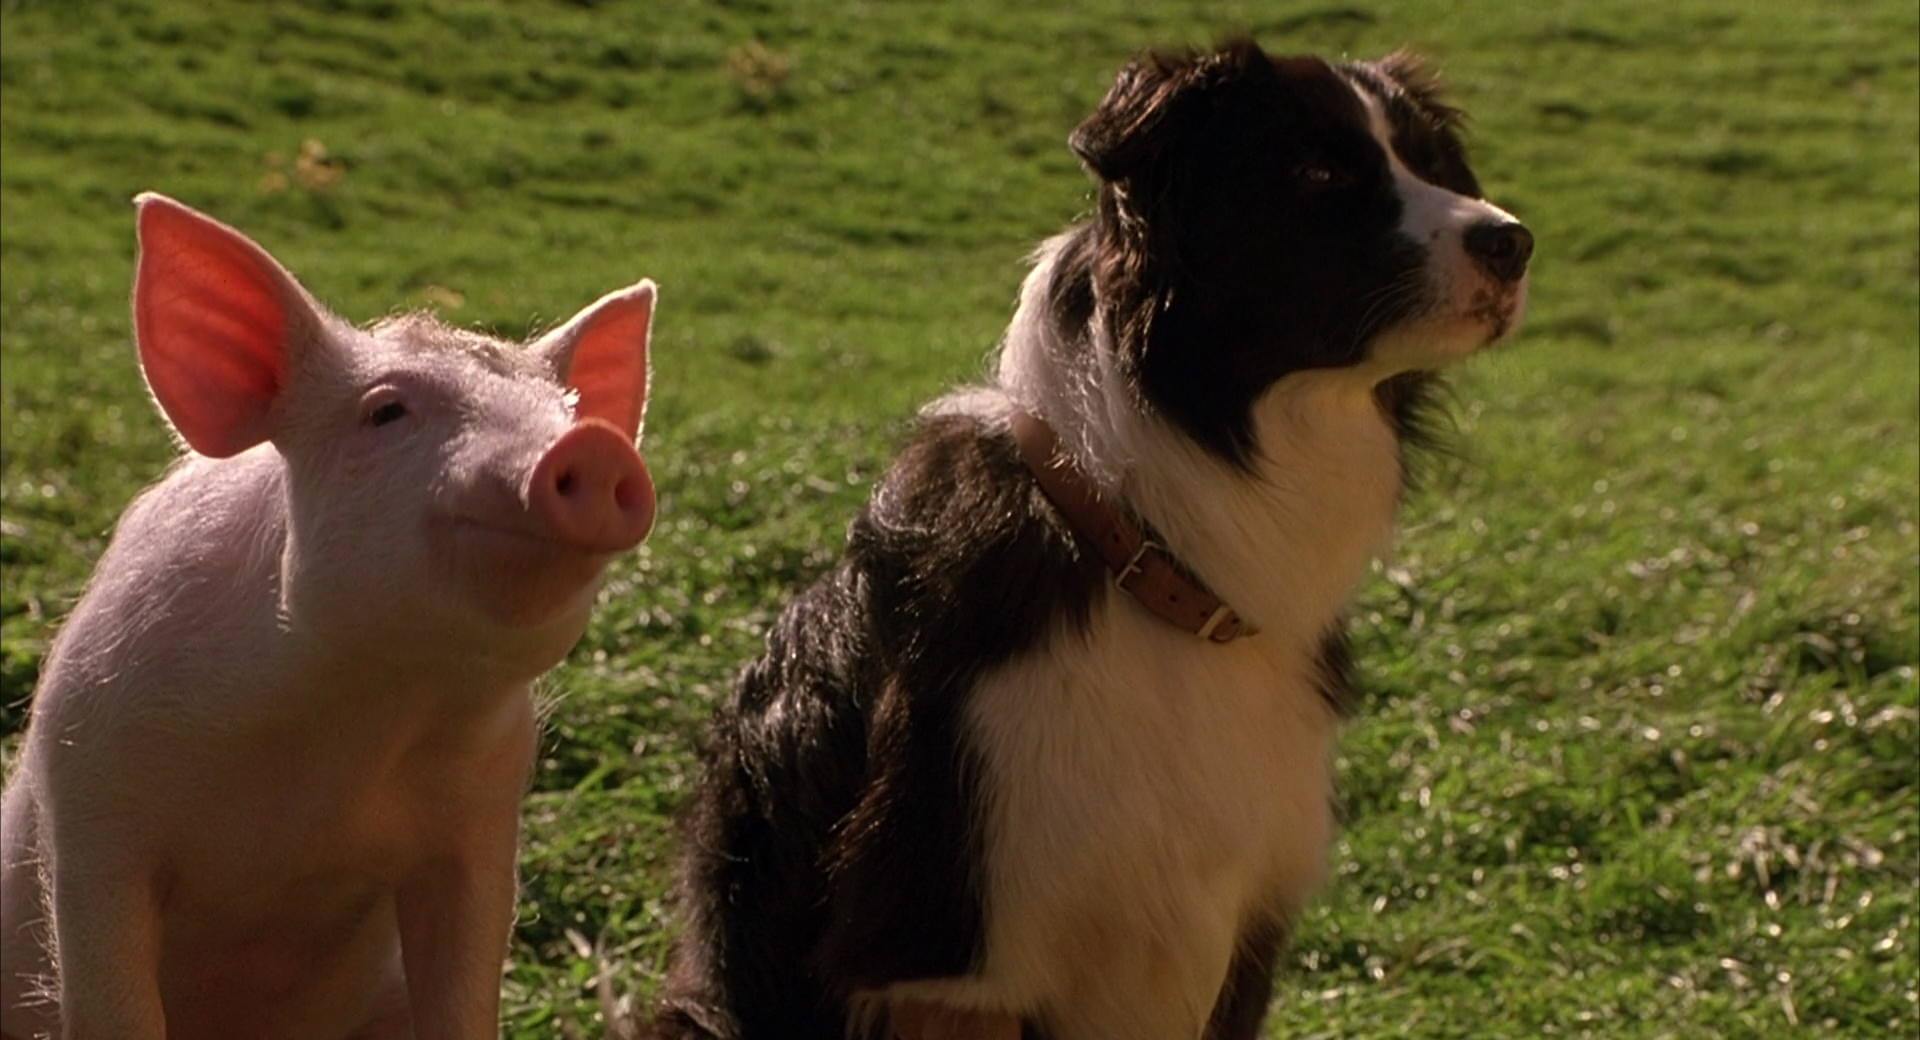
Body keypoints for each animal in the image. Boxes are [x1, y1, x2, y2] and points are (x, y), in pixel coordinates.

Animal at [0, 195, 660, 1040]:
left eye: (566, 412)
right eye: (386, 410)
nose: (597, 448)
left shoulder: (480, 822)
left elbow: (465, 994)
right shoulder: (91, 800)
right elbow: (113, 1000)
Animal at [652, 36, 1536, 1040]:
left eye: (1432, 165)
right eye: (1319, 172)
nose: (1514, 241)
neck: (1148, 551)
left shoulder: (1242, 924)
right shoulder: (947, 955)